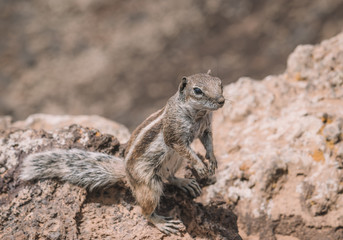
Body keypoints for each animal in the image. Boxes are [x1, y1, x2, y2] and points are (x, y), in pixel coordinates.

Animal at [20, 72, 226, 234]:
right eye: (197, 90)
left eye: (220, 83)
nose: (222, 100)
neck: (198, 114)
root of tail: (127, 174)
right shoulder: (174, 136)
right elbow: (184, 148)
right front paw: (200, 165)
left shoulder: (206, 128)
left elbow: (208, 142)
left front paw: (212, 160)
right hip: (150, 186)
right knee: (145, 211)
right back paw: (160, 222)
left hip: (174, 161)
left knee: (169, 176)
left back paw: (184, 182)